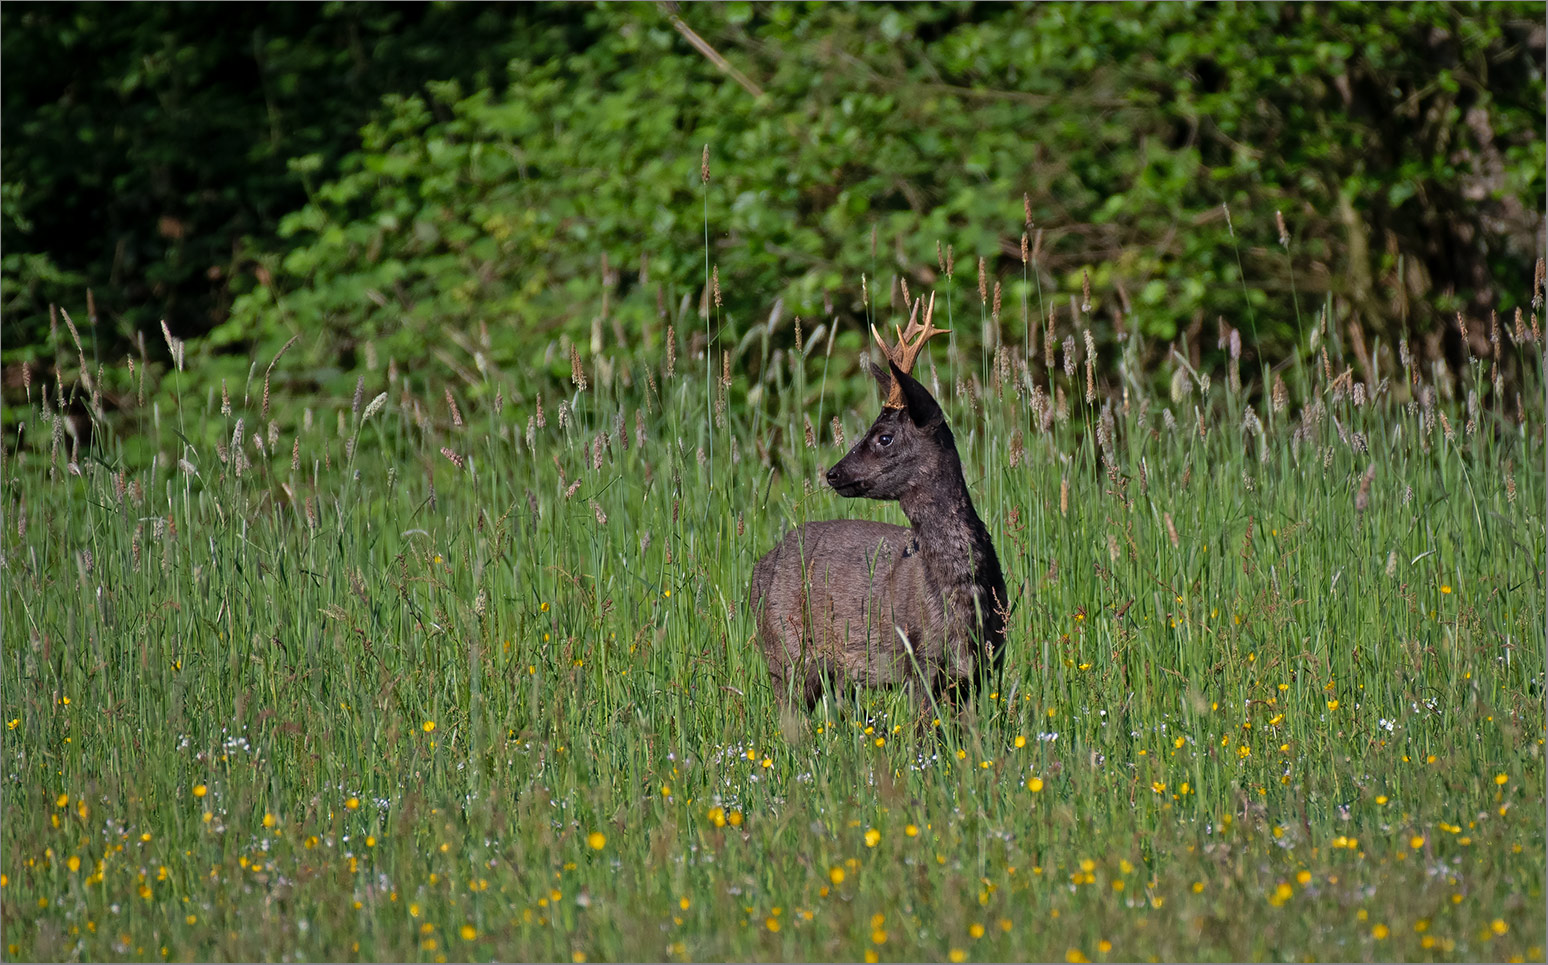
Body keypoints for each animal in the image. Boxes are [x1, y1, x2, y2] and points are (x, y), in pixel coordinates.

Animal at [746, 295, 1009, 718]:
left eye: (884, 436)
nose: (833, 473)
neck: (963, 591)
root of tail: (760, 564)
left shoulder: (982, 667)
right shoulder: (917, 660)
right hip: (785, 650)